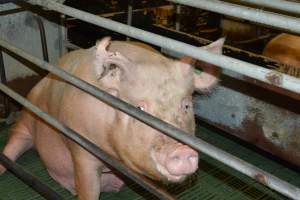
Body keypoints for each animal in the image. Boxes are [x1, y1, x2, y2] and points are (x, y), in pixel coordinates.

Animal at [0, 36, 224, 199]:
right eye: (139, 108)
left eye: (186, 105)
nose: (182, 150)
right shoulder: (80, 147)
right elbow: (88, 190)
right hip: (27, 116)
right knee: (14, 143)